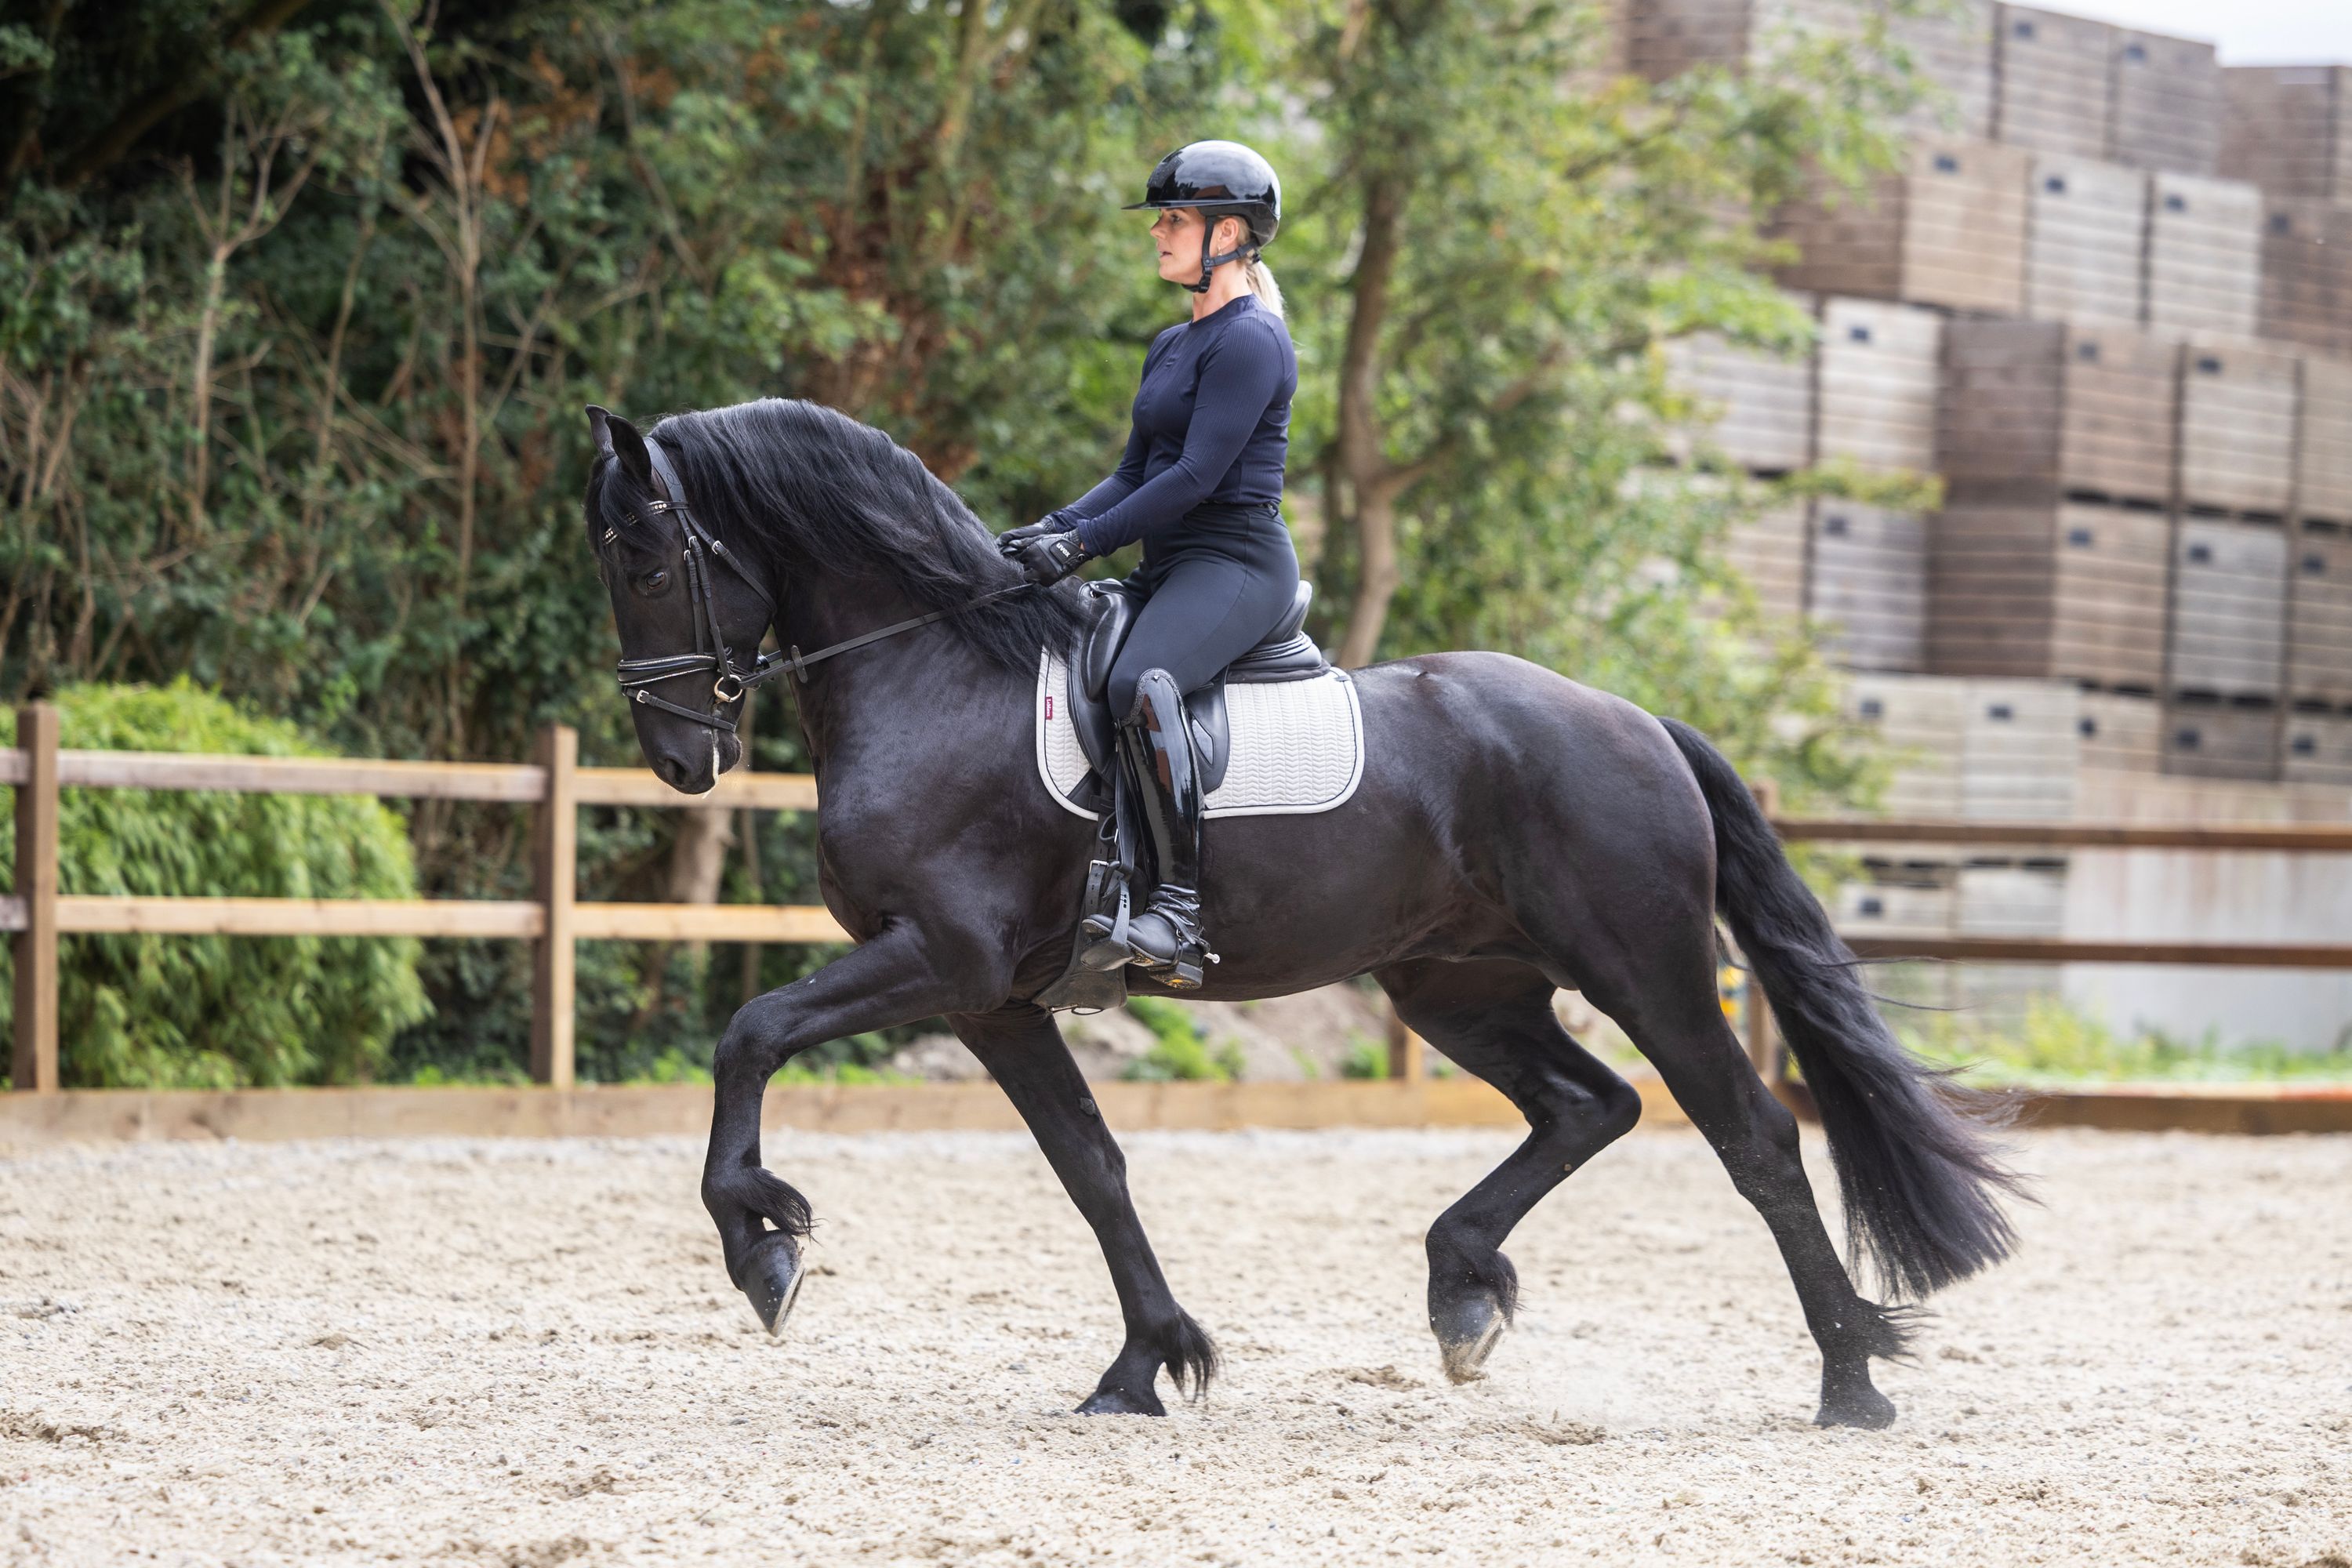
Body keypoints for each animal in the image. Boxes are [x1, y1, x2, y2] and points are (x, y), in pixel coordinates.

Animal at [580, 396, 2023, 1428]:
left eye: (645, 560)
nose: (677, 755)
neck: (937, 673)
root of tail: (1636, 721)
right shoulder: (995, 1000)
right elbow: (1090, 1164)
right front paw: (1149, 1364)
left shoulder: (941, 958)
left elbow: (752, 1033)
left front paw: (764, 1247)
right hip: (1459, 986)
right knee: (1588, 1106)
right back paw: (1464, 1291)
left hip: (1645, 969)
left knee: (1753, 1137)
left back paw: (1851, 1381)